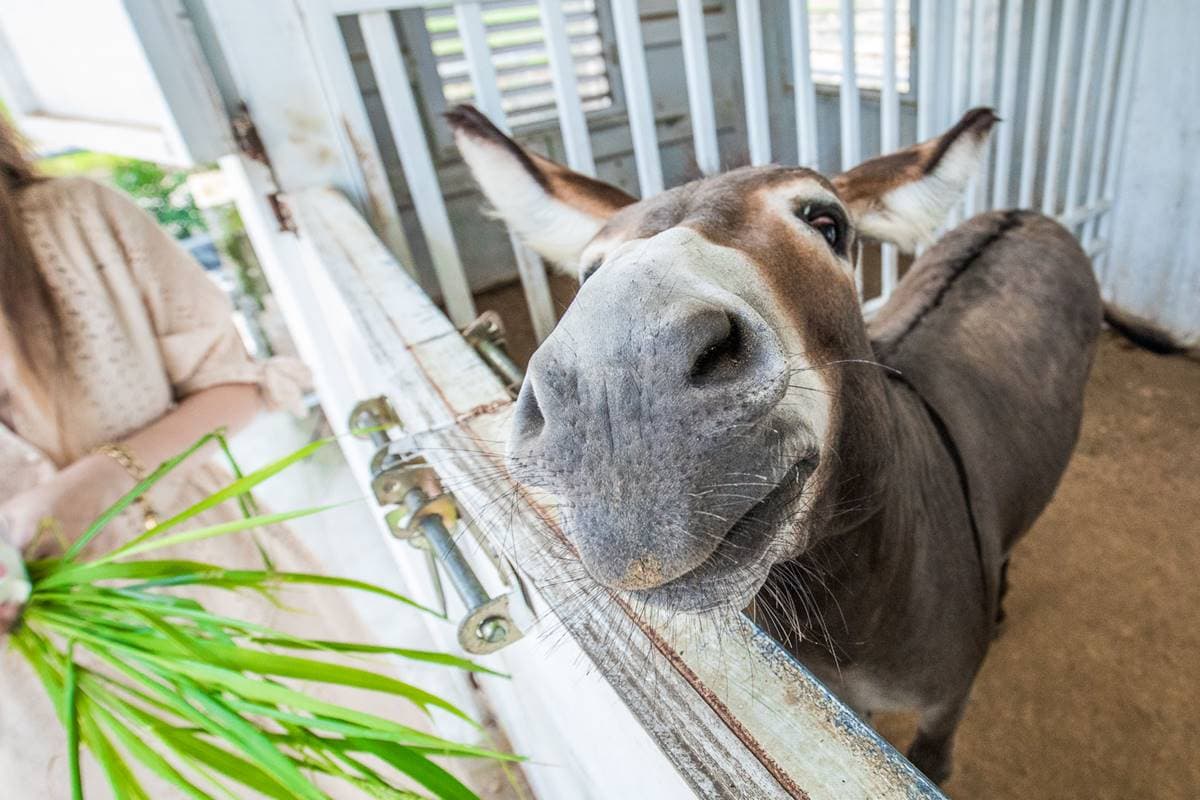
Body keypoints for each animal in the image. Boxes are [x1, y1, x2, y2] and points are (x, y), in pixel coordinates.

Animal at [446, 103, 1101, 784]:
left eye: (827, 223)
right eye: (587, 271)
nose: (616, 388)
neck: (849, 604)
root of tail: (1022, 212)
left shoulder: (944, 712)